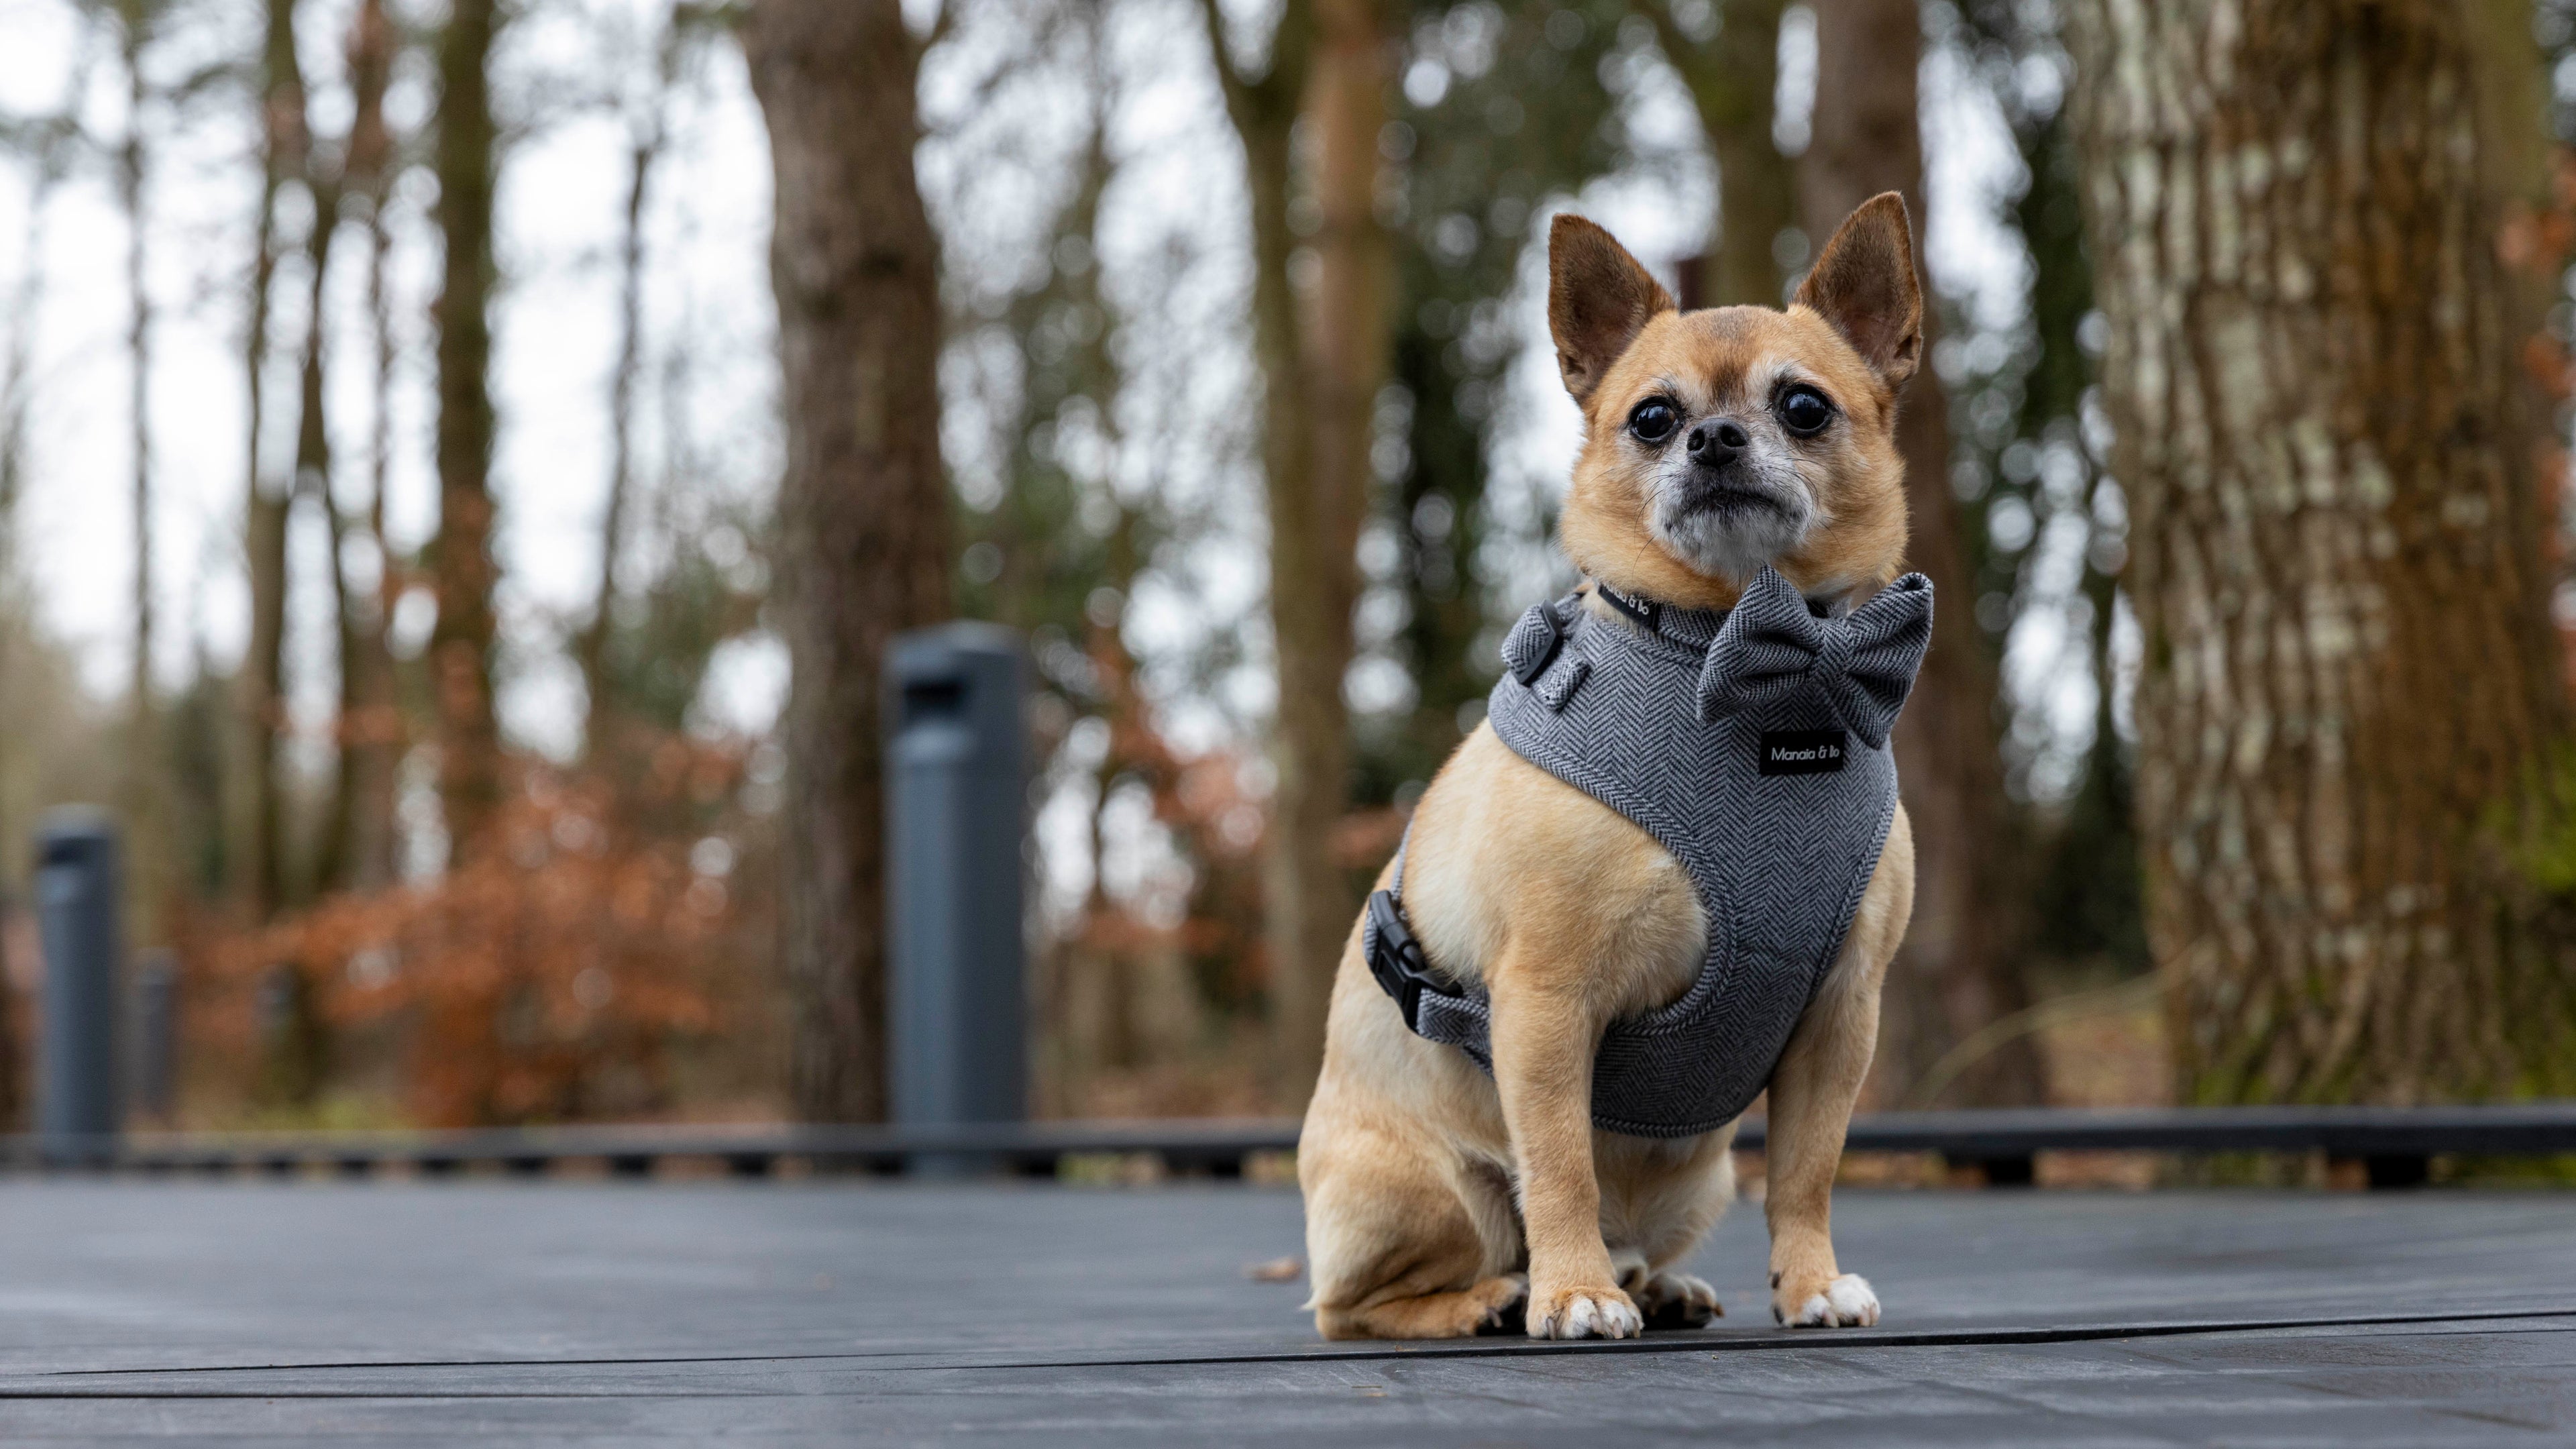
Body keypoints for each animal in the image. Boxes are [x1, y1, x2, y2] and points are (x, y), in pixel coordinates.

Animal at [1298, 195, 1927, 1340]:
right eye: (1652, 420)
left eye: (1804, 408)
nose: (1715, 439)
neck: (1742, 668)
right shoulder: (1546, 1005)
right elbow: (1559, 1164)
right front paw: (1574, 1293)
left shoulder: (1841, 1019)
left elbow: (1807, 1169)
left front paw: (1811, 1282)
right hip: (1427, 1193)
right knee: (1355, 1304)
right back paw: (1494, 1298)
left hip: (1701, 1182)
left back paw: (1652, 1282)